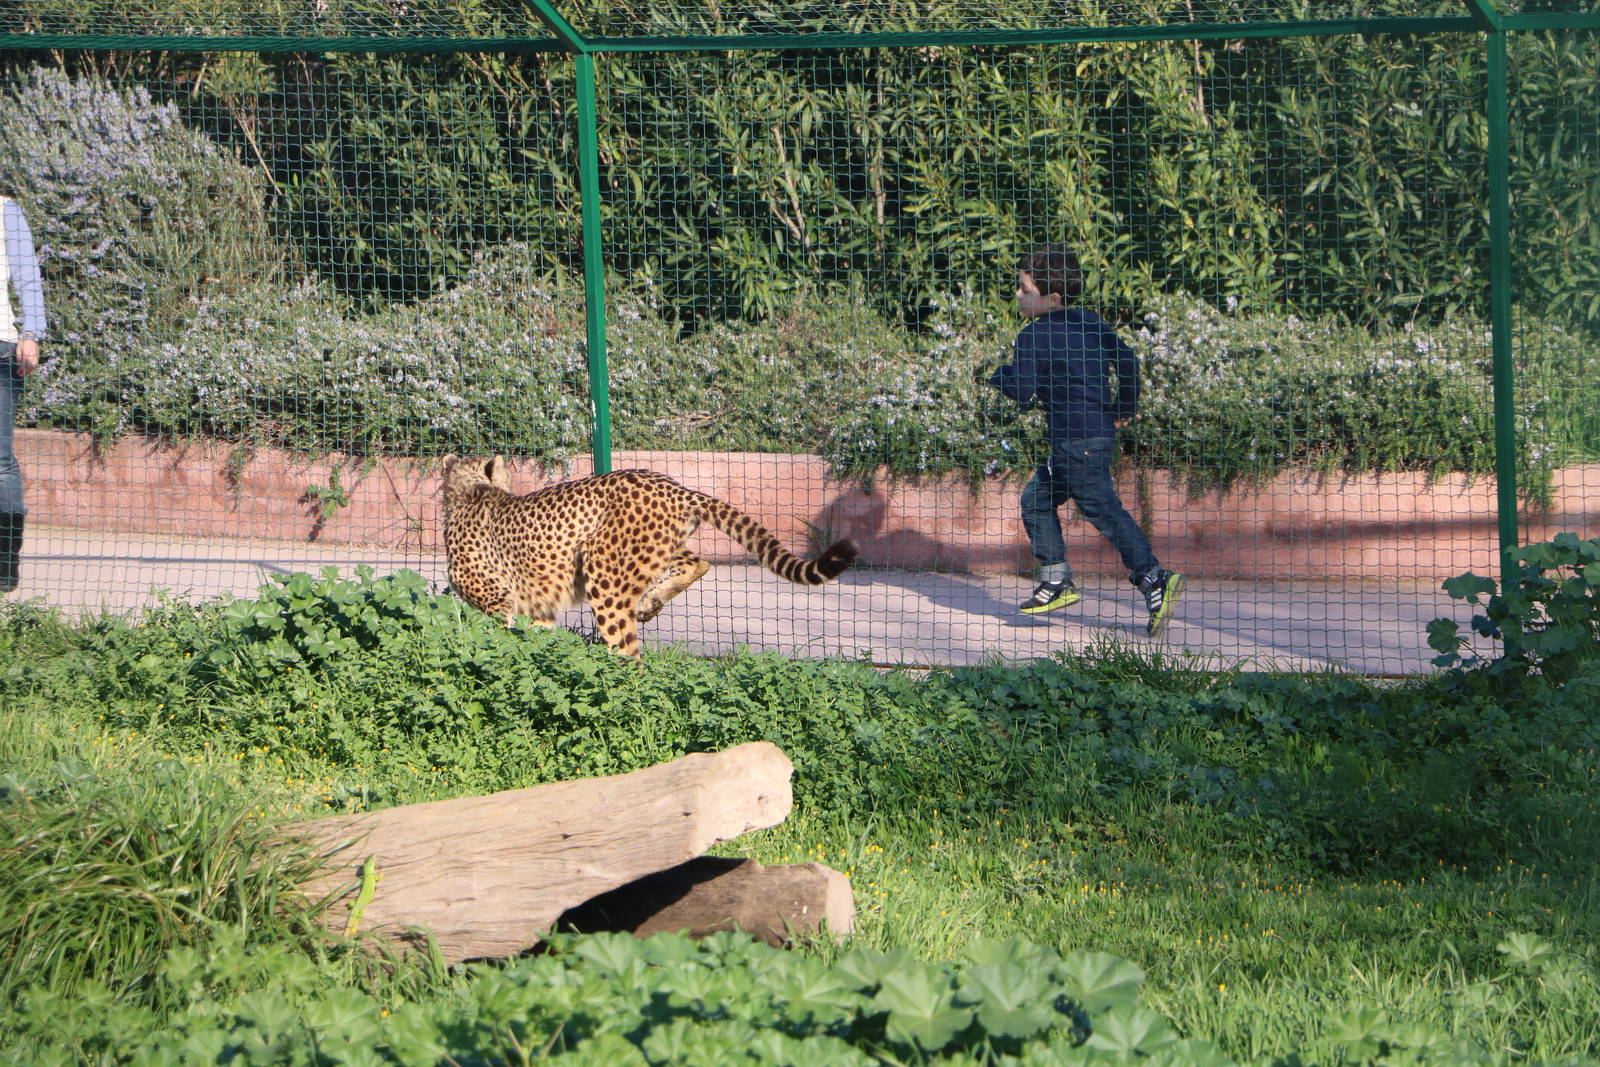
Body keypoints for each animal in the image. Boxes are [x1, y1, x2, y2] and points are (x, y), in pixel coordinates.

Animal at [441, 455, 858, 657]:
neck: (469, 493)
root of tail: (674, 486)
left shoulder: (498, 601)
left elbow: (501, 637)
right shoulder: (538, 610)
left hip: (604, 577)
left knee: (630, 655)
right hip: (653, 550)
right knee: (698, 562)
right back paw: (651, 603)